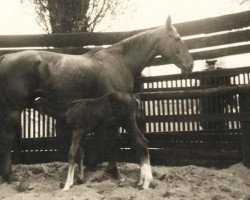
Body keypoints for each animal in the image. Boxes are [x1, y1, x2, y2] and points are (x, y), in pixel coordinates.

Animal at [0, 16, 193, 185]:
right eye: (177, 38)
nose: (190, 65)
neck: (119, 61)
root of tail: (5, 58)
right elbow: (112, 139)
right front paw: (114, 172)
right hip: (14, 109)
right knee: (7, 138)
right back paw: (9, 176)